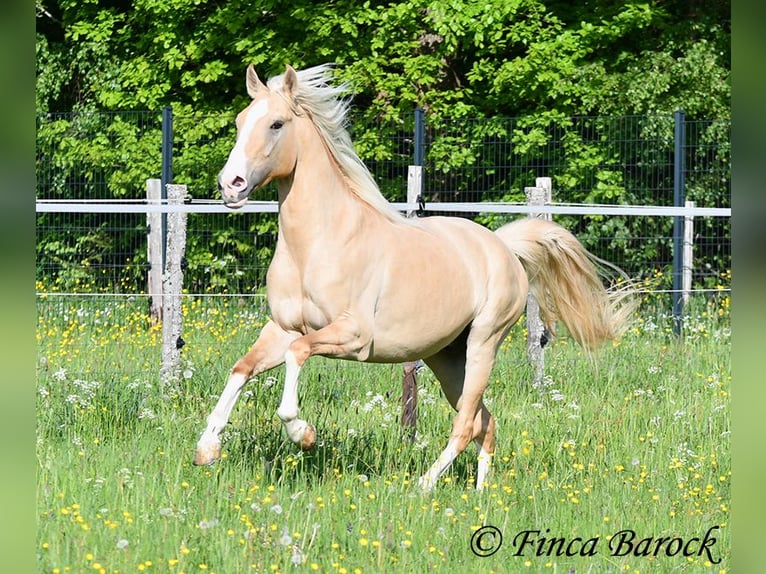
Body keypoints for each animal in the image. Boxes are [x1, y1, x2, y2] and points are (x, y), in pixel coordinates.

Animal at [193, 64, 634, 490]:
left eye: (276, 124)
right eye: (240, 121)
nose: (230, 185)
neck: (318, 244)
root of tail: (503, 246)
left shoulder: (352, 336)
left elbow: (297, 355)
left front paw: (303, 433)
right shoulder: (282, 327)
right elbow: (242, 369)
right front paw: (207, 448)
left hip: (483, 343)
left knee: (465, 425)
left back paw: (424, 484)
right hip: (446, 356)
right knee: (485, 423)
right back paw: (480, 496)